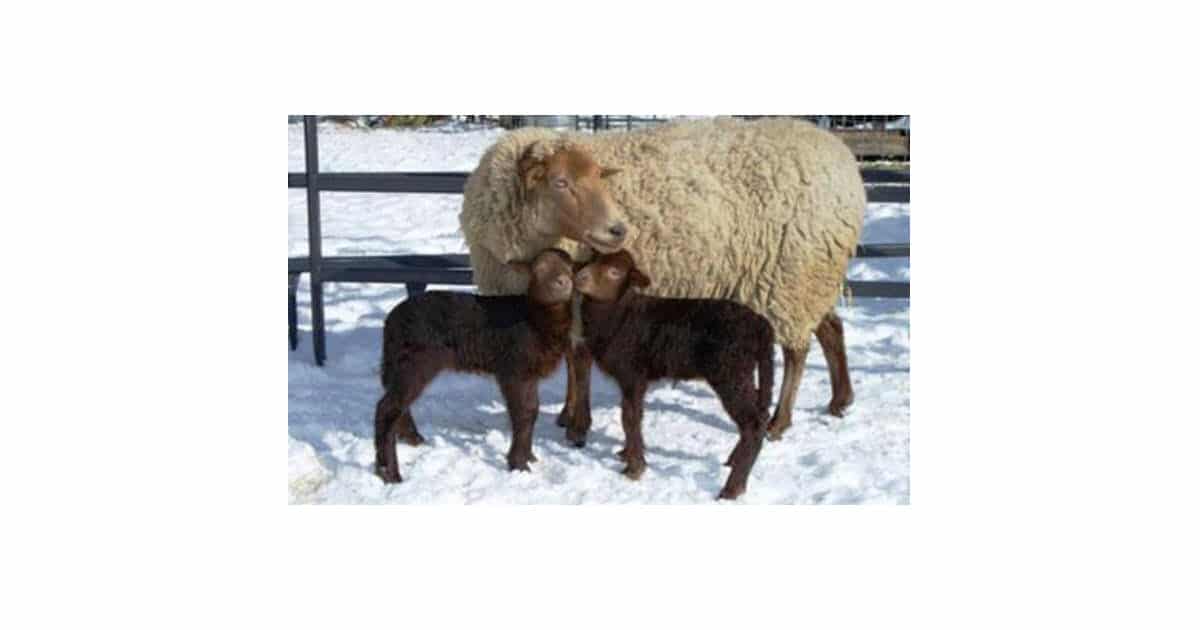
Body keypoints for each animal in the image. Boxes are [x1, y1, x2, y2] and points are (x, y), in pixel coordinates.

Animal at [373, 248, 575, 483]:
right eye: (539, 268)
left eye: (571, 267)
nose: (563, 282)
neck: (536, 318)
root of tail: (391, 320)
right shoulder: (514, 369)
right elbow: (523, 413)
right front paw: (518, 464)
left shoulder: (529, 373)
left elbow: (532, 411)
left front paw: (529, 457)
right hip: (414, 361)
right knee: (387, 408)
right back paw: (390, 472)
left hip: (400, 362)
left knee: (397, 402)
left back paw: (411, 439)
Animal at [459, 117, 865, 445]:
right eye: (559, 182)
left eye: (598, 178)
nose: (618, 230)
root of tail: (844, 160)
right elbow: (575, 363)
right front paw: (567, 415)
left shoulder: (579, 297)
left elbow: (579, 360)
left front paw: (577, 426)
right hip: (810, 275)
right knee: (831, 328)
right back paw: (840, 400)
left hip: (792, 275)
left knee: (798, 351)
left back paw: (779, 422)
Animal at [573, 250, 775, 500]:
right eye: (591, 261)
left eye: (615, 272)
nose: (579, 278)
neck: (620, 317)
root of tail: (760, 325)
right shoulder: (633, 378)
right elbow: (633, 414)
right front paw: (627, 453)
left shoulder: (633, 373)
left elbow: (629, 418)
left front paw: (635, 468)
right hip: (745, 372)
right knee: (761, 414)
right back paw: (734, 462)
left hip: (731, 372)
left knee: (753, 423)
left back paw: (732, 488)